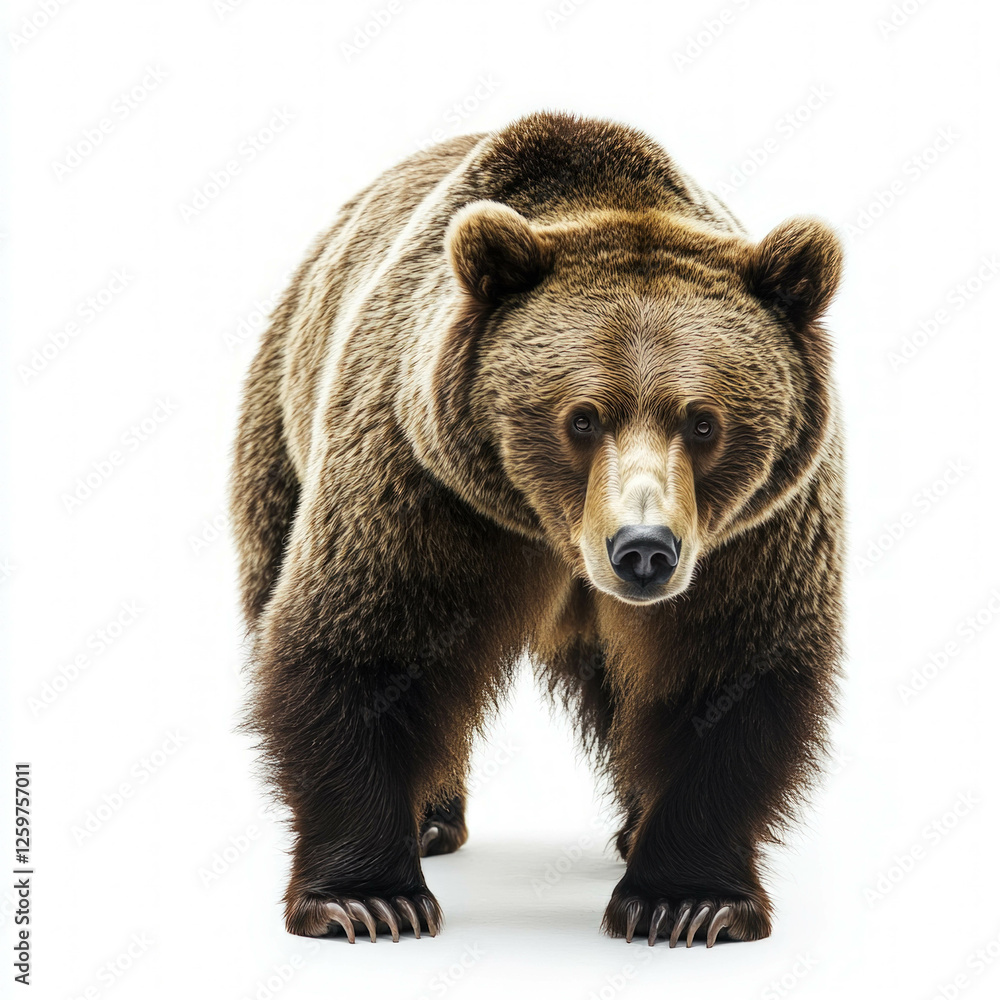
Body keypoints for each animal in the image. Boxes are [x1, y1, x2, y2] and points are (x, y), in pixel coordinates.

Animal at [230, 110, 845, 948]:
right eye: (582, 417)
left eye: (704, 421)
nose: (643, 550)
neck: (553, 535)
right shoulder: (425, 485)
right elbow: (364, 646)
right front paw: (368, 900)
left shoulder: (756, 532)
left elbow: (728, 677)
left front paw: (684, 903)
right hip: (284, 434)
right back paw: (429, 820)